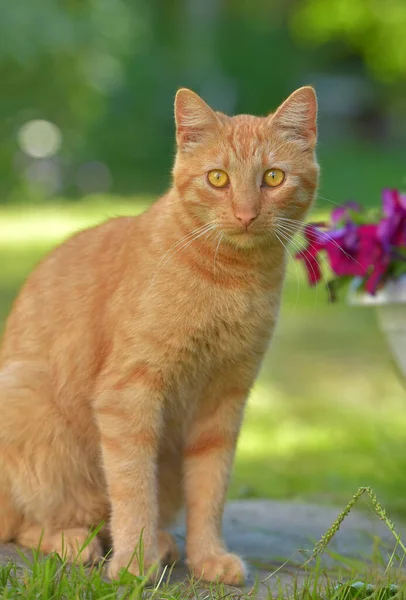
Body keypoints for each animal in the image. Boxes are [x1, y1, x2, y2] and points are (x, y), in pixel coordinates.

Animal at [0, 86, 318, 584]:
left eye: (273, 177)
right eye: (218, 178)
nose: (246, 214)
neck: (231, 279)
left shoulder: (223, 401)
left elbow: (209, 490)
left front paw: (207, 558)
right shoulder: (128, 395)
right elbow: (132, 489)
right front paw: (134, 564)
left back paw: (163, 544)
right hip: (26, 405)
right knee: (24, 524)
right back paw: (77, 542)